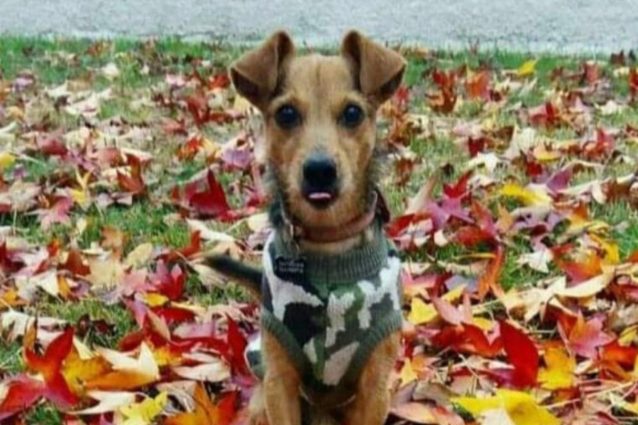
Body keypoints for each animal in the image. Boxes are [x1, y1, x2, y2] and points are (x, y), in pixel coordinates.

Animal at [207, 30, 406, 425]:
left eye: (352, 113)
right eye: (286, 113)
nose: (319, 170)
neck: (328, 243)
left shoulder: (374, 391)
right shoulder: (279, 385)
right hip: (261, 403)